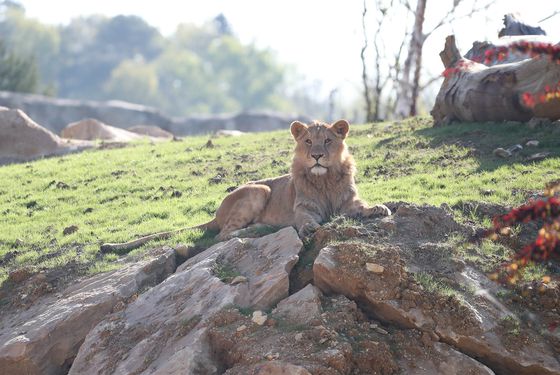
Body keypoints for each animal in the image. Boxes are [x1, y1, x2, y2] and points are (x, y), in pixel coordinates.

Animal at [100, 120, 390, 254]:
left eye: (328, 141)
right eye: (308, 141)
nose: (317, 155)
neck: (324, 180)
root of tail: (216, 213)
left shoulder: (348, 201)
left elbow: (362, 206)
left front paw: (379, 208)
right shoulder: (303, 207)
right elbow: (306, 219)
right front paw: (309, 228)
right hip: (259, 190)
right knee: (222, 235)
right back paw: (256, 230)